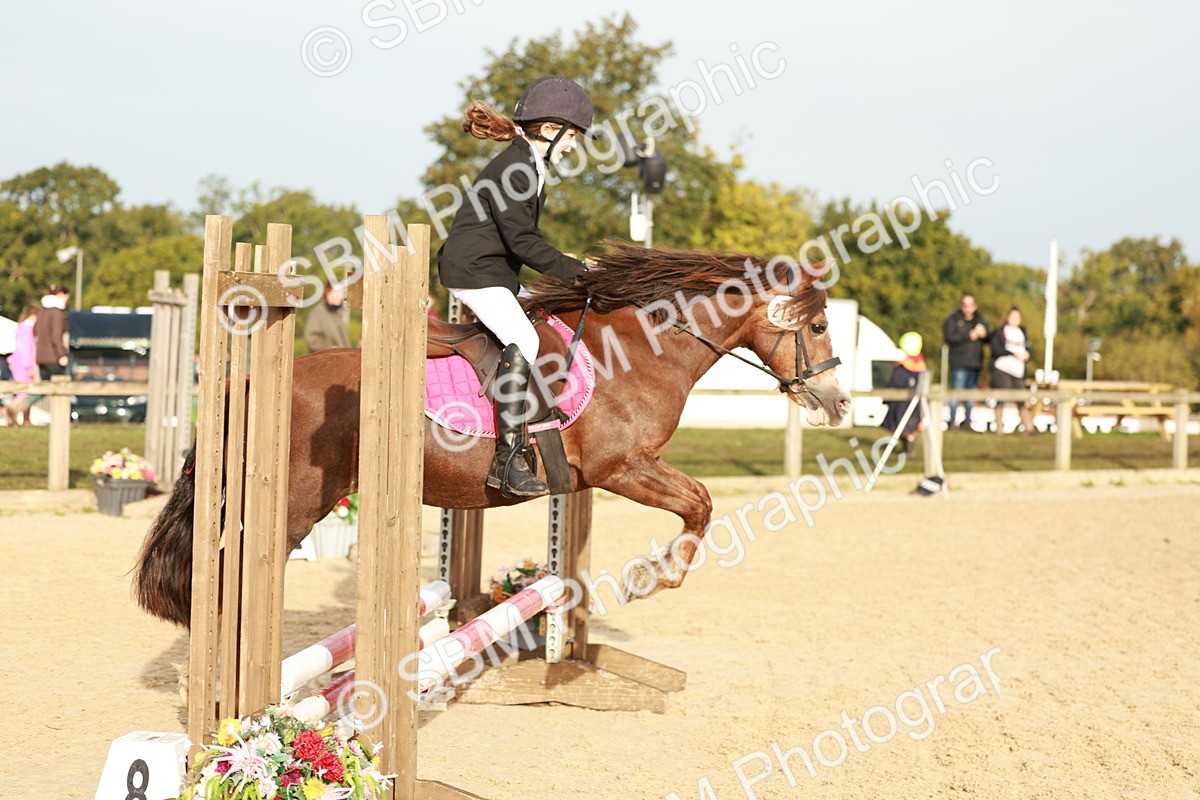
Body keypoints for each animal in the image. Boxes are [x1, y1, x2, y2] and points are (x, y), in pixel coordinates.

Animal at [135, 243, 851, 627]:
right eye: (817, 327)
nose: (839, 402)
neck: (639, 351)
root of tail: (248, 379)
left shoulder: (622, 470)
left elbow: (698, 503)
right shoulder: (621, 467)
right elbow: (700, 502)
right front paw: (655, 578)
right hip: (294, 503)